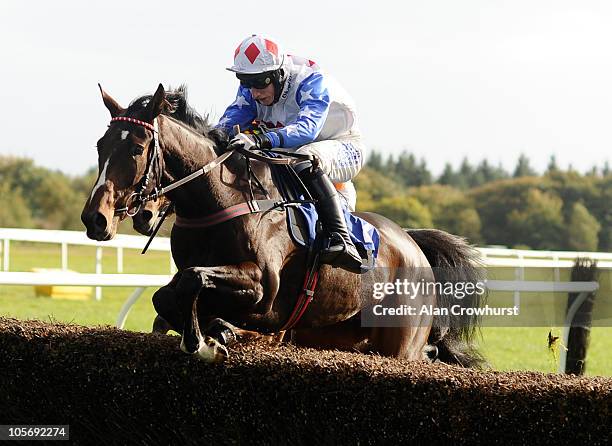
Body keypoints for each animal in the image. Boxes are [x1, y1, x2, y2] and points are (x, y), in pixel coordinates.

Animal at [81, 83, 486, 366]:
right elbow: (167, 295)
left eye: (137, 148)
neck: (220, 200)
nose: (95, 218)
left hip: (401, 340)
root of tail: (414, 245)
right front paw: (209, 333)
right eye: (100, 145)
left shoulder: (263, 289)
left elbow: (194, 281)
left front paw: (204, 342)